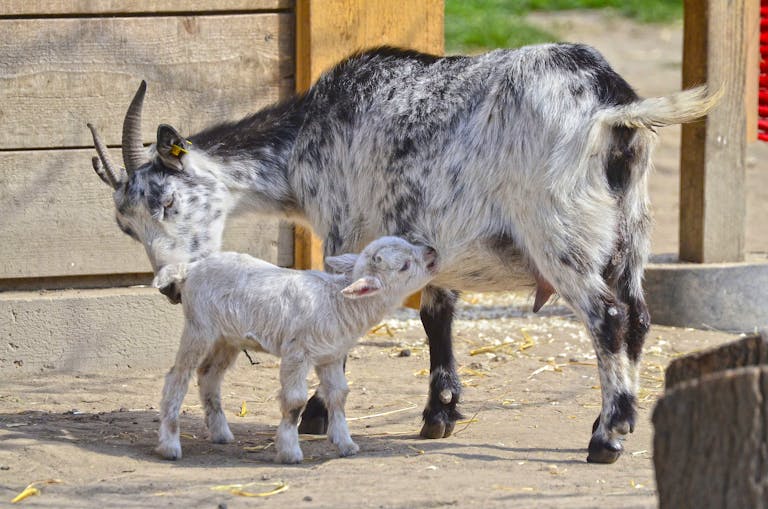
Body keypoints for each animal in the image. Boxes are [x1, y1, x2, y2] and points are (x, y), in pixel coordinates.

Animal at [151, 236, 438, 462]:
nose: (432, 251)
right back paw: (170, 445)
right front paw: (290, 451)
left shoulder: (331, 356)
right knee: (177, 377)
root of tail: (191, 267)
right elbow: (295, 401)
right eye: (405, 265)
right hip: (199, 328)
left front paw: (346, 444)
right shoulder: (297, 353)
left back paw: (221, 433)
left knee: (209, 375)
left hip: (227, 338)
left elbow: (339, 395)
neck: (338, 301)